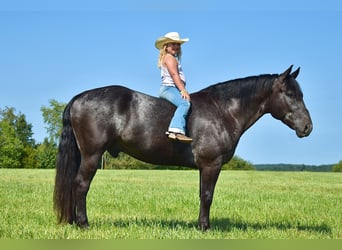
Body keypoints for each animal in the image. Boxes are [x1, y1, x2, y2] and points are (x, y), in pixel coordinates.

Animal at [52, 65, 312, 230]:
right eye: (289, 93)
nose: (307, 127)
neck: (223, 111)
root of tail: (78, 98)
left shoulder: (204, 167)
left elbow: (202, 194)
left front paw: (200, 225)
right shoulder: (211, 164)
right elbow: (207, 196)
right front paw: (205, 227)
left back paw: (73, 221)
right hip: (92, 155)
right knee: (81, 185)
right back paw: (83, 224)